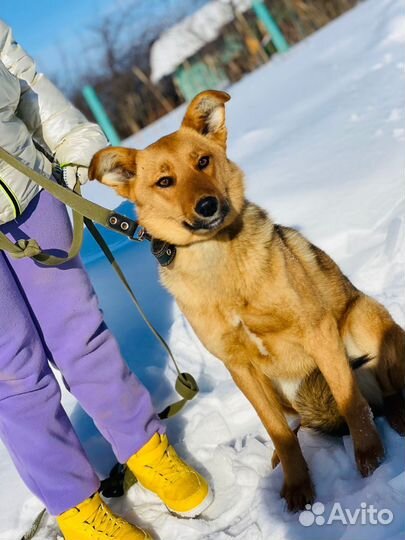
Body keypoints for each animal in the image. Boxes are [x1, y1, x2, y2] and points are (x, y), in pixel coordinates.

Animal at [90, 90, 404, 512]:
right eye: (165, 181)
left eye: (203, 161)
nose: (207, 206)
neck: (219, 266)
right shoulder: (240, 368)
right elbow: (277, 431)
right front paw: (296, 485)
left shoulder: (320, 333)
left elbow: (350, 400)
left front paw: (370, 457)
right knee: (302, 422)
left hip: (361, 321)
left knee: (389, 392)